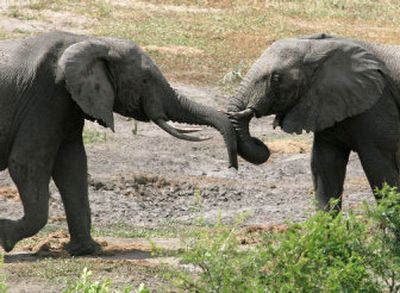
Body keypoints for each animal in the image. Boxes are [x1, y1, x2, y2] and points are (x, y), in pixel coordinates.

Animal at [0, 29, 238, 253]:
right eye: (145, 80)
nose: (232, 166)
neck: (91, 40)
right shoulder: (46, 98)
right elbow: (26, 165)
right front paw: (6, 239)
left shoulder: (68, 105)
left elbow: (72, 168)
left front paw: (87, 251)